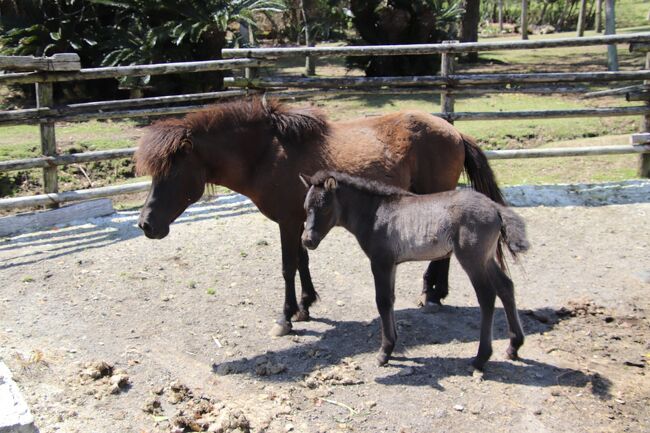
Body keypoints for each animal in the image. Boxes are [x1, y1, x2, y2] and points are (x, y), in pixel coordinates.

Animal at [135, 97, 502, 334]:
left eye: (171, 173)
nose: (146, 224)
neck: (266, 154)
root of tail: (454, 132)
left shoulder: (286, 222)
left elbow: (287, 267)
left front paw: (285, 317)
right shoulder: (298, 220)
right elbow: (302, 262)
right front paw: (306, 305)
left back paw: (434, 295)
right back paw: (434, 292)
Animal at [302, 170, 528, 370]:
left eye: (324, 207)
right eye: (305, 207)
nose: (307, 241)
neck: (375, 213)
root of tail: (494, 207)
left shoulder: (381, 262)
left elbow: (382, 301)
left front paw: (384, 352)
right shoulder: (392, 264)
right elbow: (390, 300)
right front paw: (391, 345)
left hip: (472, 259)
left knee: (487, 296)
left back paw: (481, 358)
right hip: (486, 258)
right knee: (506, 287)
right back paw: (513, 347)